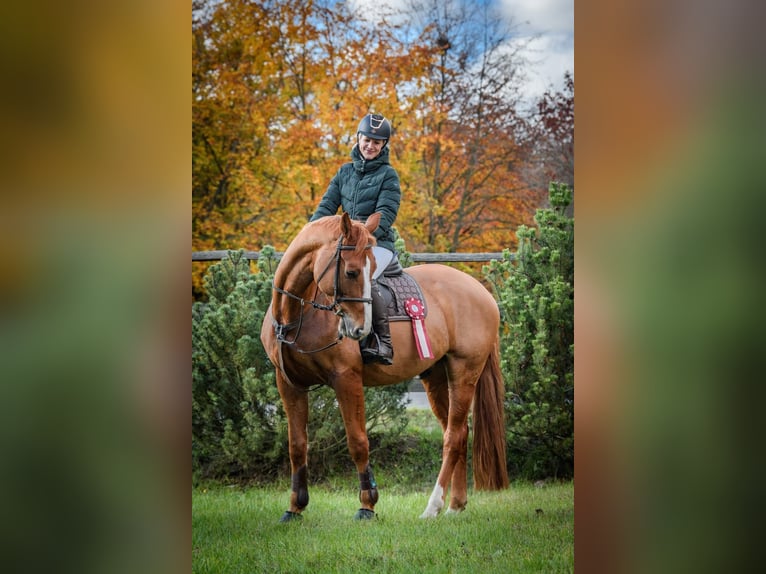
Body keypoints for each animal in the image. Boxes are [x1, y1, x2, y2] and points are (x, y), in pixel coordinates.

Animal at [260, 212, 508, 522]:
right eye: (351, 272)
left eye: (366, 273)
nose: (360, 329)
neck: (298, 314)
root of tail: (482, 292)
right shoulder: (289, 384)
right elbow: (297, 446)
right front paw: (295, 507)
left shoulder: (346, 379)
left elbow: (358, 442)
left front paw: (367, 505)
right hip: (437, 377)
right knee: (460, 433)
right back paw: (454, 506)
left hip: (464, 373)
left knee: (452, 437)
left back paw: (432, 507)